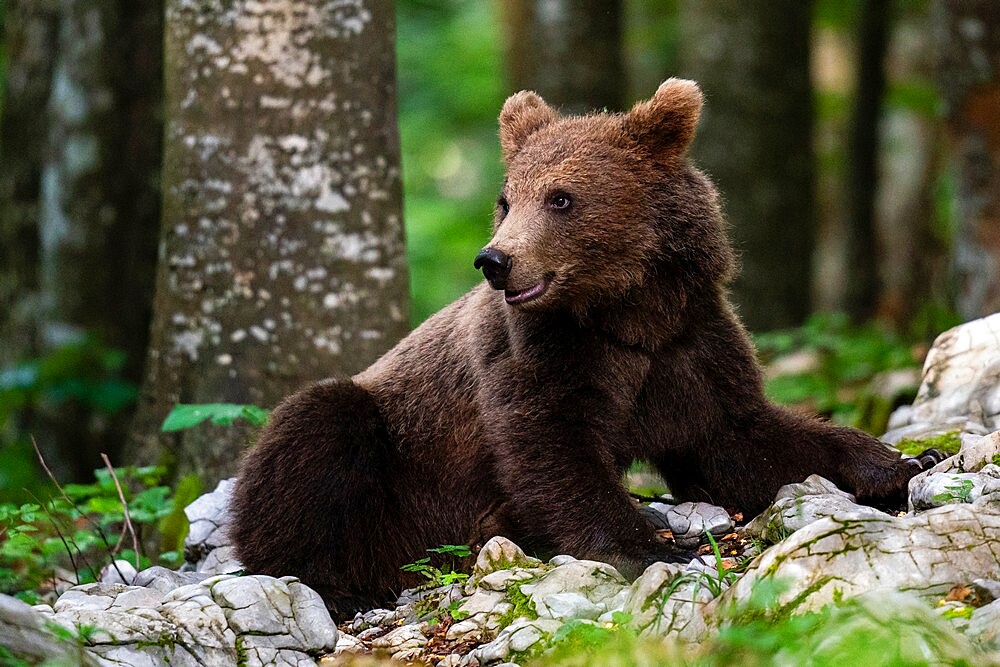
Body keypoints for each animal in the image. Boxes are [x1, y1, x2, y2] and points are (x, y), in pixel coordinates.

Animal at [230, 79, 940, 620]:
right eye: (507, 199)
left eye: (561, 197)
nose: (495, 261)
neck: (626, 313)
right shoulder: (543, 357)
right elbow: (552, 450)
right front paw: (654, 544)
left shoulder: (690, 348)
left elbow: (743, 441)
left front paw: (904, 461)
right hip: (398, 462)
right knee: (315, 432)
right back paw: (337, 585)